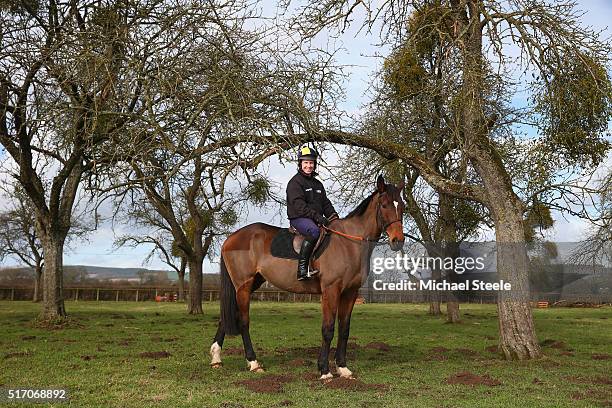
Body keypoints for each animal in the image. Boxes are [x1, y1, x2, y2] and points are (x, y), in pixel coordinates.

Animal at [210, 174, 406, 378]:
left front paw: (343, 368)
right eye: (384, 205)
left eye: (402, 205)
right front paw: (325, 370)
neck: (349, 243)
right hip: (243, 286)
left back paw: (216, 359)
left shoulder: (350, 293)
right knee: (243, 322)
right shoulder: (331, 291)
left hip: (251, 283)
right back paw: (253, 363)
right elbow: (328, 329)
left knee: (226, 318)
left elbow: (344, 329)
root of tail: (231, 238)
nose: (398, 241)